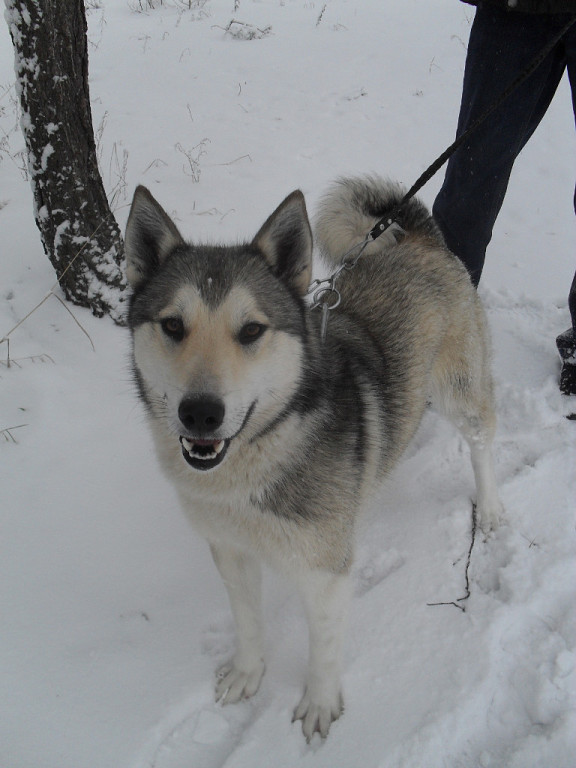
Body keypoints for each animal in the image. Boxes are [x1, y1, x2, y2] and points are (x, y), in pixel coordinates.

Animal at [124, 177, 502, 740]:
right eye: (172, 325)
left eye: (251, 330)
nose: (200, 414)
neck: (262, 454)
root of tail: (420, 240)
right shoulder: (229, 550)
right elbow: (248, 622)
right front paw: (247, 674)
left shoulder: (325, 572)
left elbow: (323, 648)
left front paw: (320, 707)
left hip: (461, 392)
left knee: (481, 442)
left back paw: (493, 508)